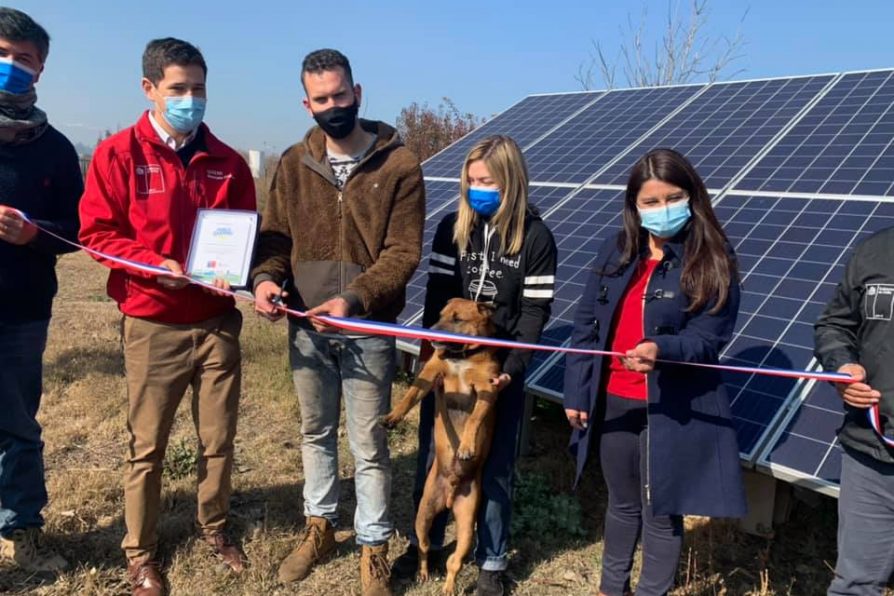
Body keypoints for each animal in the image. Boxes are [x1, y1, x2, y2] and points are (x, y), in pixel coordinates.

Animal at [380, 300, 504, 592]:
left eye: (458, 319)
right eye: (440, 315)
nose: (431, 330)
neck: (461, 357)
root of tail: (449, 495)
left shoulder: (487, 390)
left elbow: (474, 420)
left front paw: (467, 446)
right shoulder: (429, 373)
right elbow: (409, 396)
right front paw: (392, 417)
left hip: (467, 527)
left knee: (453, 563)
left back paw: (448, 587)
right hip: (423, 515)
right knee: (425, 548)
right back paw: (422, 573)